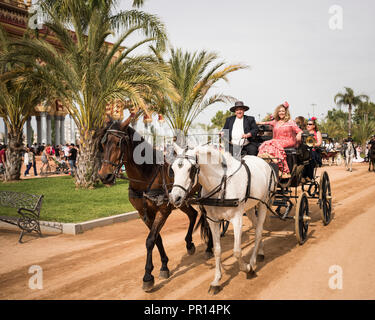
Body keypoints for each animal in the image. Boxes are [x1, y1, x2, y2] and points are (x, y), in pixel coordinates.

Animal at [97, 118, 213, 292]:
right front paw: (164, 265)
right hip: (180, 199)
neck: (146, 177)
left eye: (118, 143)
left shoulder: (163, 211)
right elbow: (157, 238)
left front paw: (147, 276)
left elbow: (150, 240)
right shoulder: (144, 214)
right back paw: (189, 244)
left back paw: (209, 247)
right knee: (193, 214)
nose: (105, 176)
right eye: (103, 144)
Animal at [169, 144, 278, 294]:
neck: (222, 183)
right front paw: (216, 281)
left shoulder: (237, 219)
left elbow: (237, 251)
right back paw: (260, 252)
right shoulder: (213, 221)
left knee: (259, 231)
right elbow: (217, 250)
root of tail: (265, 163)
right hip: (250, 208)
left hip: (263, 203)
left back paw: (252, 262)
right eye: (173, 169)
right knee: (257, 228)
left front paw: (247, 268)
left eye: (190, 169)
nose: (175, 198)